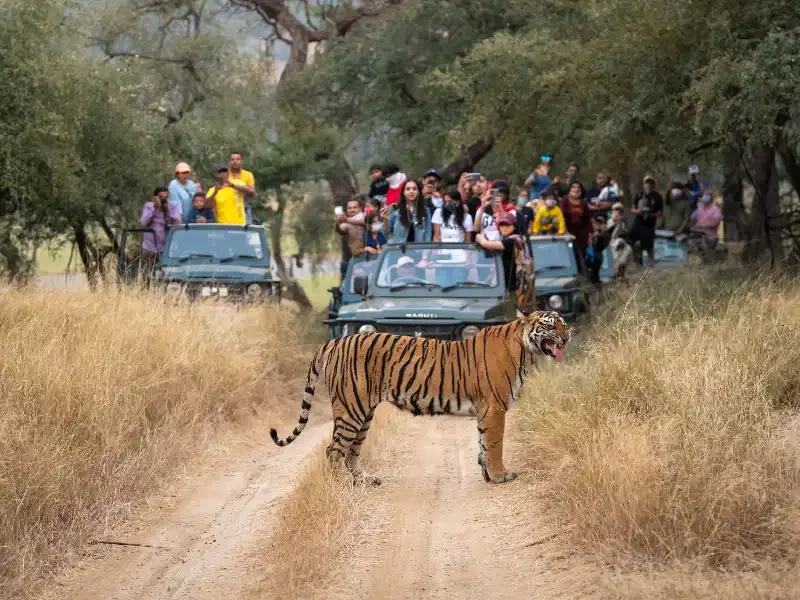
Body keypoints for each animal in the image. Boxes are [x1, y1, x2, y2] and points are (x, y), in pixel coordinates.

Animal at [272, 310, 572, 488]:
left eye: (564, 323)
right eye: (550, 325)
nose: (568, 335)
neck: (526, 351)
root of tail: (334, 341)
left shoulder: (486, 410)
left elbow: (483, 443)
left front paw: (488, 474)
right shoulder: (495, 407)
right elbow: (494, 444)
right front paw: (501, 476)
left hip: (363, 413)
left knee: (351, 452)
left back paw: (366, 480)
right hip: (350, 409)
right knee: (334, 450)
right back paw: (341, 487)